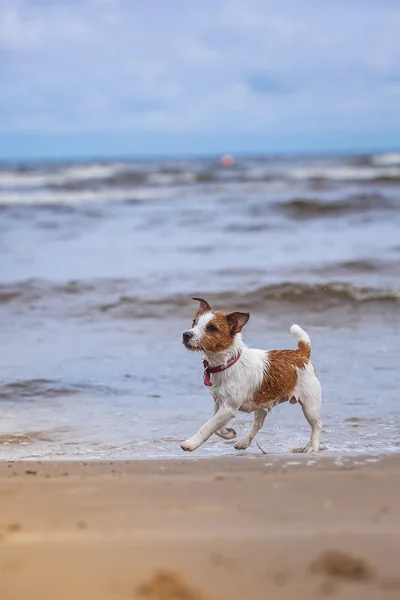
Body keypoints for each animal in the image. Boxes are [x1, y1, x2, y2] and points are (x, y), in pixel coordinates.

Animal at [181, 298, 322, 452]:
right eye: (194, 322)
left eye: (212, 328)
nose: (186, 334)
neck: (228, 363)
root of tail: (301, 354)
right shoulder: (219, 402)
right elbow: (216, 426)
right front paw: (228, 433)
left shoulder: (229, 407)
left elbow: (207, 426)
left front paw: (191, 443)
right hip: (262, 404)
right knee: (258, 424)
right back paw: (243, 442)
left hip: (310, 405)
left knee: (317, 424)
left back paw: (313, 446)